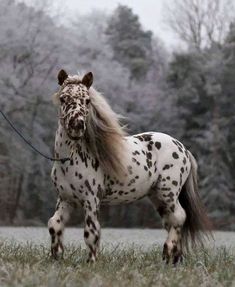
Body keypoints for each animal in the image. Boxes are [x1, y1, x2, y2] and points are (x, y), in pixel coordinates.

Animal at [47, 70, 211, 266]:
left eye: (87, 100)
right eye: (63, 98)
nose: (77, 125)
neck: (69, 161)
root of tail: (183, 148)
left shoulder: (91, 200)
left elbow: (91, 232)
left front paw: (92, 262)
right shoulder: (65, 200)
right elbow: (54, 224)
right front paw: (55, 257)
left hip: (168, 192)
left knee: (179, 217)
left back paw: (167, 252)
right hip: (157, 197)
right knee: (171, 221)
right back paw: (174, 259)